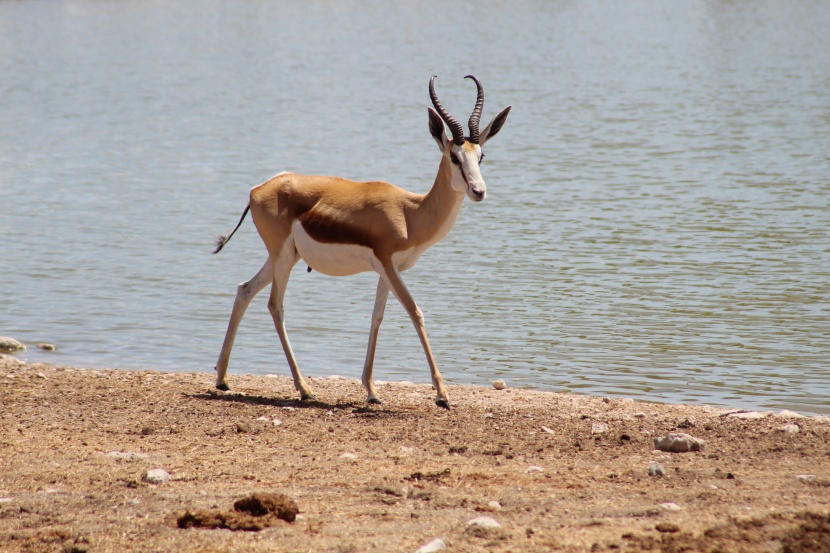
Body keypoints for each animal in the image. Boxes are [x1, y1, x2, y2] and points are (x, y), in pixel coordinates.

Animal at [211, 75, 510, 408]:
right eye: (454, 156)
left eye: (480, 156)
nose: (478, 191)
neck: (410, 213)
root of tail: (258, 189)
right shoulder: (388, 264)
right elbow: (415, 312)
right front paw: (442, 395)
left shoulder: (388, 270)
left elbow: (376, 317)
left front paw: (371, 390)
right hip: (283, 258)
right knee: (275, 305)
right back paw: (304, 388)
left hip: (284, 257)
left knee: (244, 290)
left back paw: (222, 378)